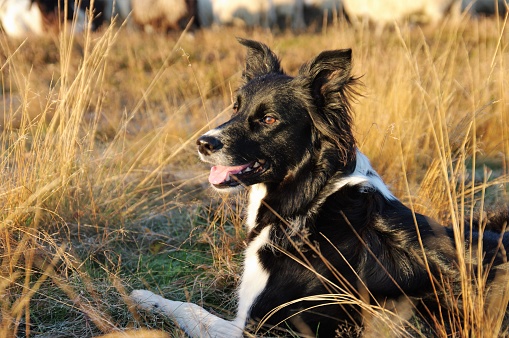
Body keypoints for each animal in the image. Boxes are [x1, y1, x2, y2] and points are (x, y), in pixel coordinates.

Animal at [131, 39, 508, 336]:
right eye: (236, 108)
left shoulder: (263, 327)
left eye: (268, 120)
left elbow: (193, 310)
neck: (309, 200)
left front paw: (145, 298)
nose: (203, 143)